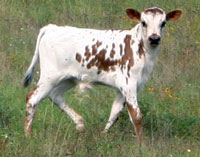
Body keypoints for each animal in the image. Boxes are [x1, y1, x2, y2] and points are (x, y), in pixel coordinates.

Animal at [23, 6, 181, 142]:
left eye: (163, 23)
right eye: (143, 22)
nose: (154, 38)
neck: (142, 50)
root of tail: (52, 27)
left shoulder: (129, 87)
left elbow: (115, 112)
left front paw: (103, 135)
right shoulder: (129, 84)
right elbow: (136, 116)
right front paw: (141, 144)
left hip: (68, 78)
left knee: (55, 95)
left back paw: (80, 124)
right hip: (50, 76)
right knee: (33, 98)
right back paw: (28, 136)